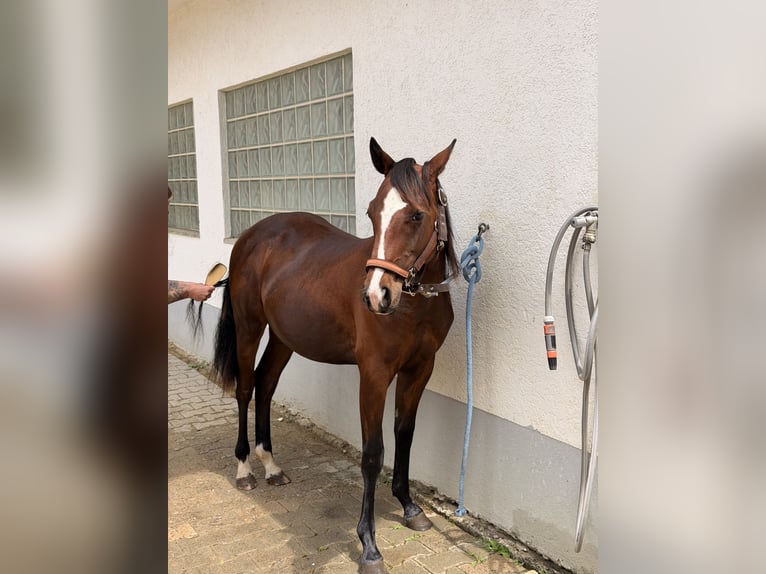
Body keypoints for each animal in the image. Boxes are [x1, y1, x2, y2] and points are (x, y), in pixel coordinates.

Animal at [204, 137, 458, 574]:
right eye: (372, 212)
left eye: (417, 214)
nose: (376, 296)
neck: (415, 305)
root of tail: (252, 236)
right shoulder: (373, 374)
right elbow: (372, 453)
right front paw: (369, 545)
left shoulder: (419, 369)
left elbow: (404, 435)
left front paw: (409, 507)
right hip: (250, 328)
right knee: (245, 389)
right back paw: (244, 468)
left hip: (284, 337)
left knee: (266, 385)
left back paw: (271, 464)